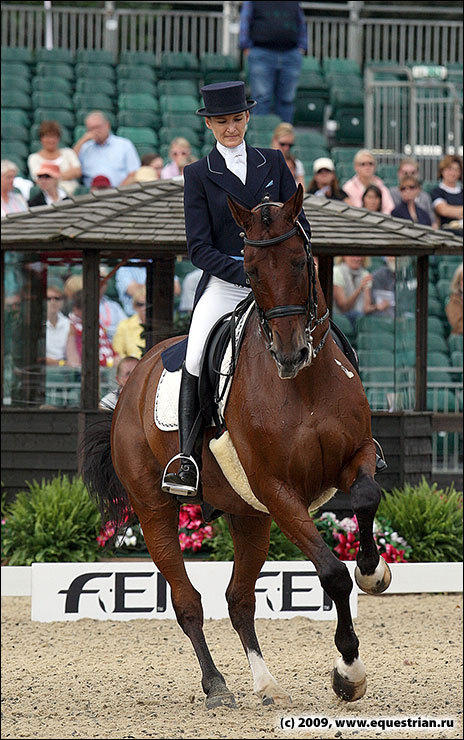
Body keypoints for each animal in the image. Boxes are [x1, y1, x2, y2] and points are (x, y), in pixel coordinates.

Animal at [82, 184, 392, 712]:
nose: (290, 353)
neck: (304, 385)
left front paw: (374, 571)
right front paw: (348, 673)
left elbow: (367, 497)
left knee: (239, 598)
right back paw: (217, 686)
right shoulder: (278, 490)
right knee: (188, 601)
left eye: (299, 260)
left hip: (248, 516)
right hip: (155, 508)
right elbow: (331, 572)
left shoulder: (356, 457)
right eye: (249, 270)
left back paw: (265, 684)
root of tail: (130, 384)